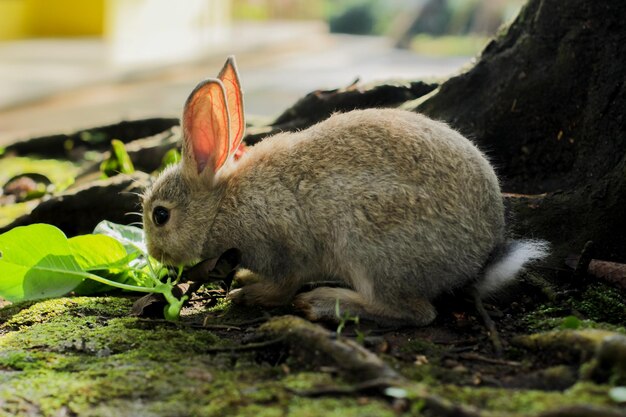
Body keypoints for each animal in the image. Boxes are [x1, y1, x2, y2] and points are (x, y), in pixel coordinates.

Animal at [141, 57, 544, 326]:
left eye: (161, 215)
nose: (155, 254)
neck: (223, 203)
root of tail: (478, 260)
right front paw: (244, 279)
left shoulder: (284, 247)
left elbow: (283, 285)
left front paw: (249, 294)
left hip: (367, 244)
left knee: (415, 312)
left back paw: (323, 303)